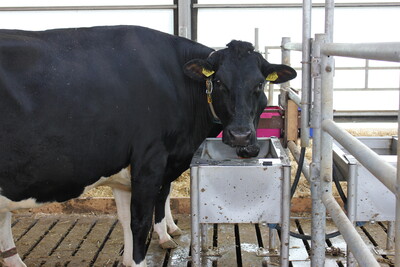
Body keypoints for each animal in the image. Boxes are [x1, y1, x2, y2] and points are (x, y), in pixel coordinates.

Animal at [0, 25, 294, 267]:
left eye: (259, 83)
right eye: (219, 82)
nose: (241, 136)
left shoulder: (129, 171)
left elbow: (128, 219)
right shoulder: (150, 161)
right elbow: (141, 221)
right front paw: (162, 238)